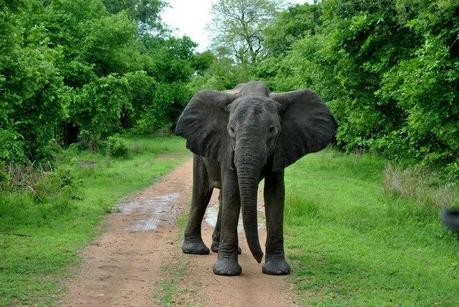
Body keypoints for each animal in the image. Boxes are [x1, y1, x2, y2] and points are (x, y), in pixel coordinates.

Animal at [174, 81, 336, 276]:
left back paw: (217, 248)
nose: (258, 258)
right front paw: (226, 272)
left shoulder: (281, 147)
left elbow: (275, 194)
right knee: (202, 193)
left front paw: (277, 270)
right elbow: (233, 193)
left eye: (272, 130)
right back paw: (195, 250)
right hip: (199, 152)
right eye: (231, 129)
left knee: (219, 198)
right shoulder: (227, 146)